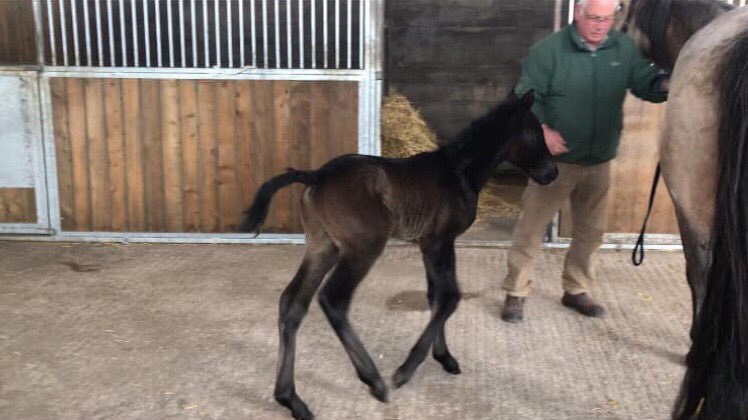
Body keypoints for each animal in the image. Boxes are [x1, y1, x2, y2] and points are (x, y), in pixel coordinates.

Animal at [239, 91, 557, 420]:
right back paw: (375, 381)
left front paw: (444, 356)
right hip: (363, 247)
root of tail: (317, 175)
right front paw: (407, 369)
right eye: (536, 133)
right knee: (333, 299)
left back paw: (291, 400)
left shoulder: (427, 244)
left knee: (292, 304)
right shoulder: (440, 241)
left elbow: (434, 296)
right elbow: (449, 297)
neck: (459, 172)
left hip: (322, 246)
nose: (552, 172)